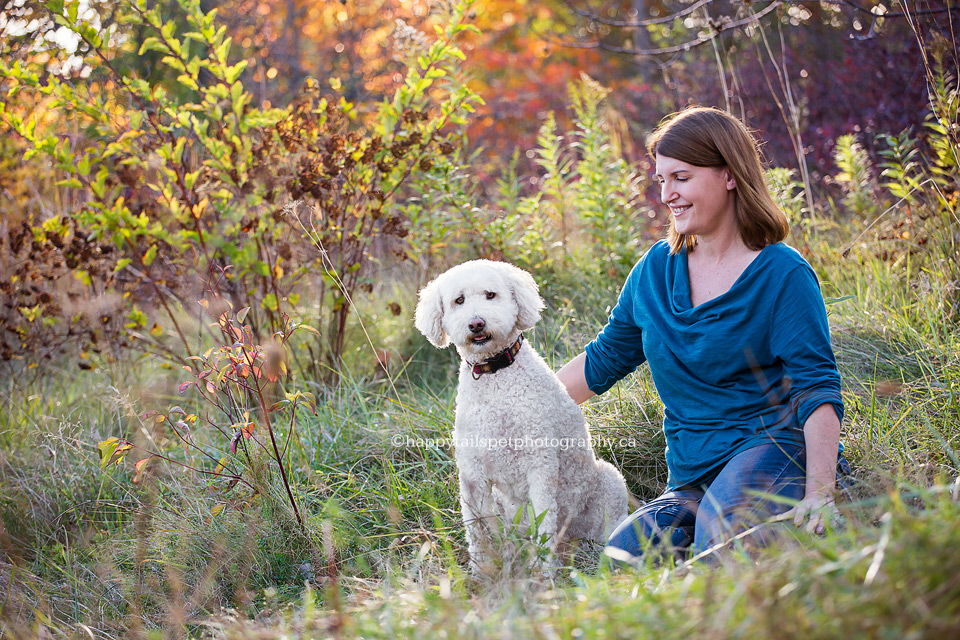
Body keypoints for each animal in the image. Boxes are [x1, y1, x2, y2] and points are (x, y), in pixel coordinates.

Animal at [414, 260, 632, 568]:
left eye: (490, 295)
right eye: (459, 300)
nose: (476, 323)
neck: (495, 377)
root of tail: (573, 539)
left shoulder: (540, 467)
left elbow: (544, 525)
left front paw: (543, 572)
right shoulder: (472, 475)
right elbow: (477, 531)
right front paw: (482, 571)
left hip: (609, 482)